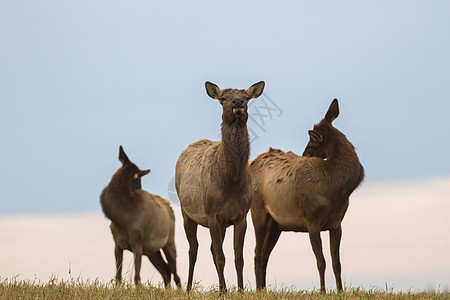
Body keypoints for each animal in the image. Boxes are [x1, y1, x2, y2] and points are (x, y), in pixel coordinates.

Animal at [100, 146, 181, 288]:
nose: (139, 188)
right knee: (166, 271)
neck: (122, 220)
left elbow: (137, 277)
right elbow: (118, 277)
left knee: (175, 274)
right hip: (152, 252)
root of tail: (169, 207)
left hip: (169, 242)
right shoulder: (117, 245)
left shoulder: (137, 243)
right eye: (138, 180)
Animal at [176, 81, 266, 292]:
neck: (231, 183)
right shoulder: (212, 215)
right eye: (223, 98)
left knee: (210, 248)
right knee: (193, 249)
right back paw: (188, 287)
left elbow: (238, 258)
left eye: (247, 97)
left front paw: (240, 290)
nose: (238, 102)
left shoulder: (241, 216)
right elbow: (220, 257)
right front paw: (224, 291)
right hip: (186, 212)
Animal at [251, 99, 364, 292]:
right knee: (257, 254)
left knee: (264, 255)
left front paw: (340, 290)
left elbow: (337, 263)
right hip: (258, 212)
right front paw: (323, 291)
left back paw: (263, 289)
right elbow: (321, 262)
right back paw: (259, 290)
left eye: (312, 142)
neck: (335, 192)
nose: (304, 154)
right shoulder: (312, 220)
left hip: (276, 225)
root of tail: (250, 164)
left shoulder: (337, 223)